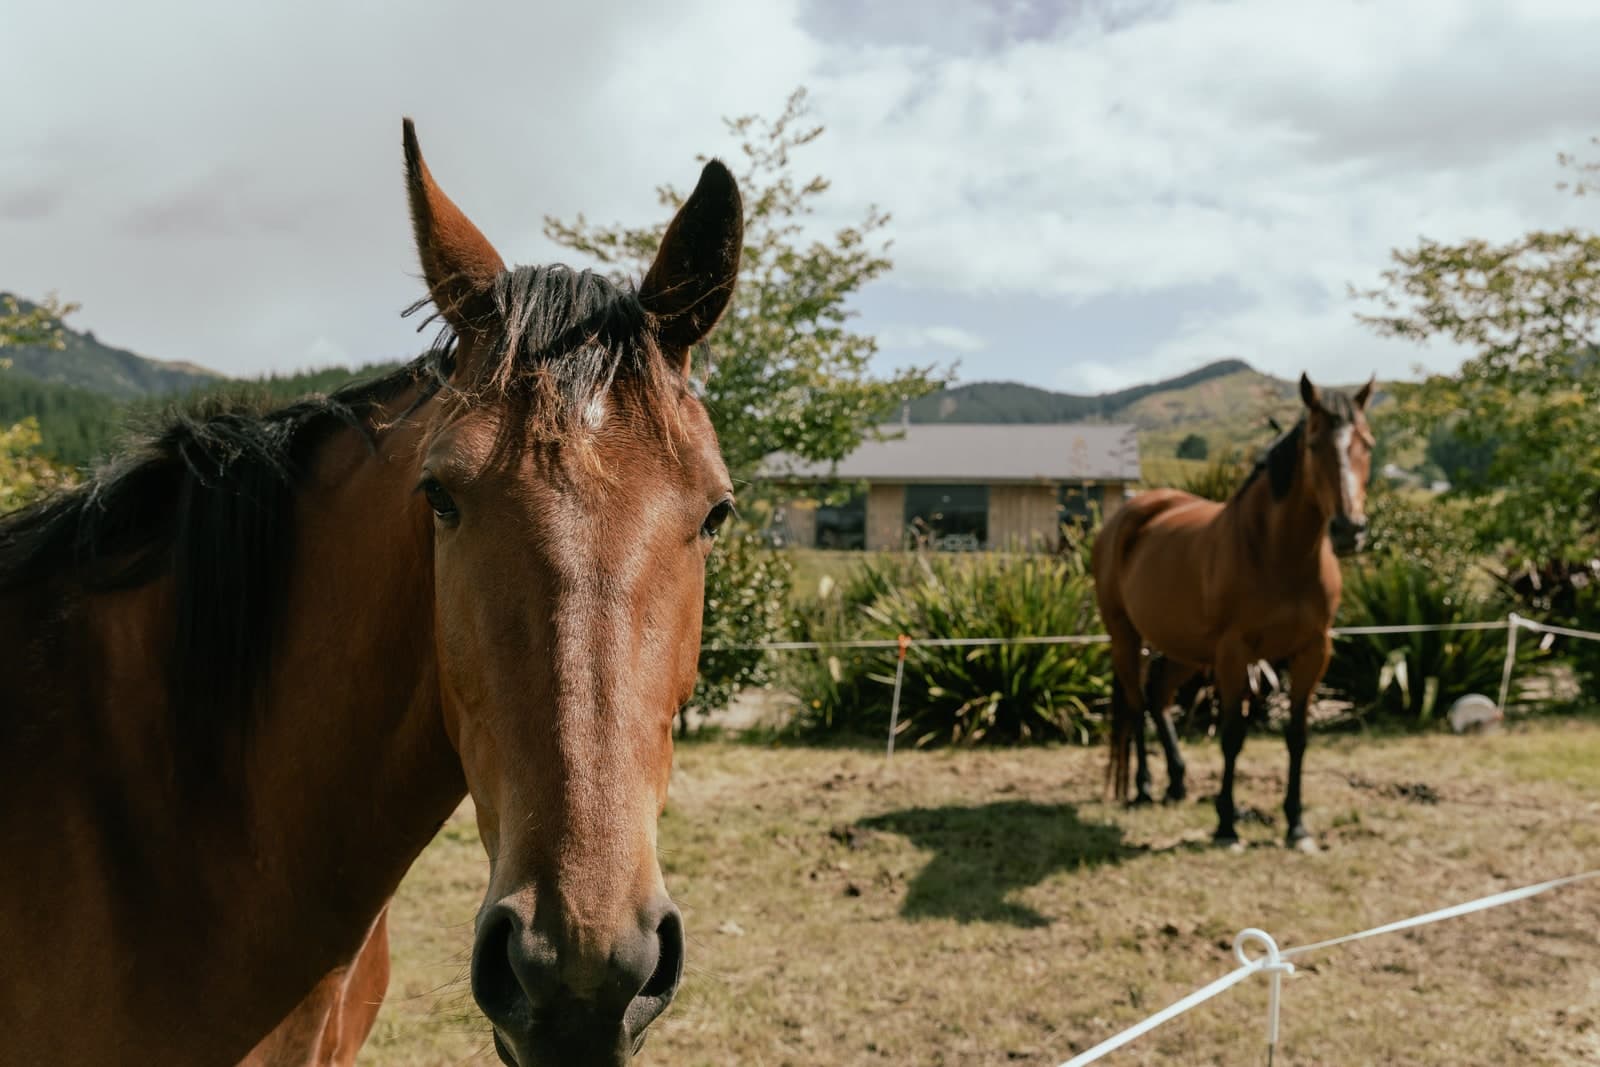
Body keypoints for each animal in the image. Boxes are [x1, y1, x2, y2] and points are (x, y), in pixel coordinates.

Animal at [1092, 373, 1375, 846]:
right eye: (1314, 443)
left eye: (1367, 444)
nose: (1348, 530)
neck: (1278, 553)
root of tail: (1128, 514)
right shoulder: (1232, 654)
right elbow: (1231, 736)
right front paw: (1226, 824)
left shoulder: (1313, 652)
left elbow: (1297, 737)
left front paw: (1296, 826)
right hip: (1126, 637)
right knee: (1135, 703)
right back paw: (1145, 788)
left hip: (1185, 649)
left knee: (1157, 696)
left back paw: (1176, 783)